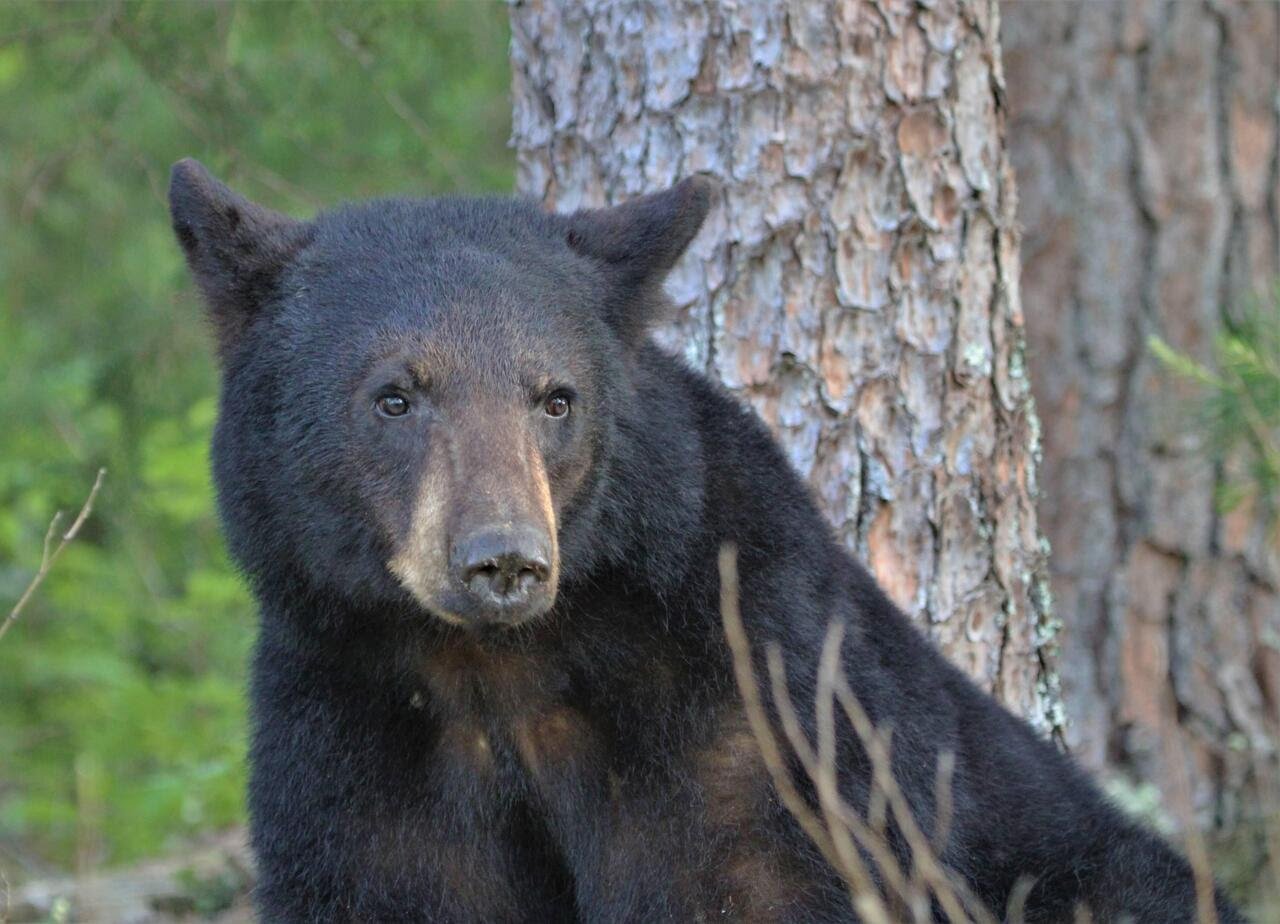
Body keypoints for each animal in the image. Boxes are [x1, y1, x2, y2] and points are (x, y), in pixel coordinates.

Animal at [168, 158, 1244, 923]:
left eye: (556, 398)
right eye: (395, 395)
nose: (504, 559)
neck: (498, 667)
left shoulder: (744, 709)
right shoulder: (355, 742)